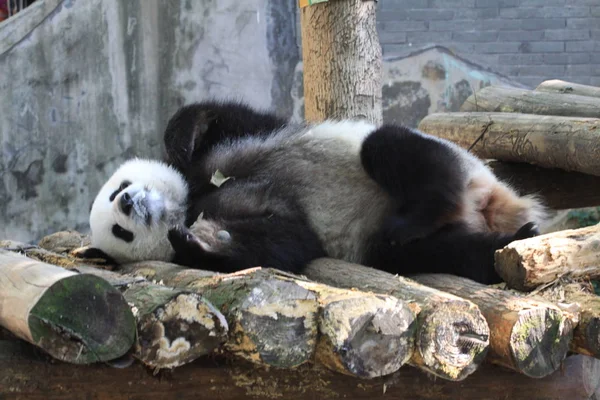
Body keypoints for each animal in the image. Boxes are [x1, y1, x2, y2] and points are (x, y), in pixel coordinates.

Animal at [88, 99, 544, 284]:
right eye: (120, 232)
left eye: (118, 189)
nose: (129, 201)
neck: (188, 204)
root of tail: (485, 206)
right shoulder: (288, 228)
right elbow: (285, 244)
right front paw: (204, 243)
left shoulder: (232, 150)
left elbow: (229, 120)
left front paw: (181, 138)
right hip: (391, 247)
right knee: (440, 253)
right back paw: (504, 242)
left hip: (456, 163)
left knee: (390, 148)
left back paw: (417, 215)